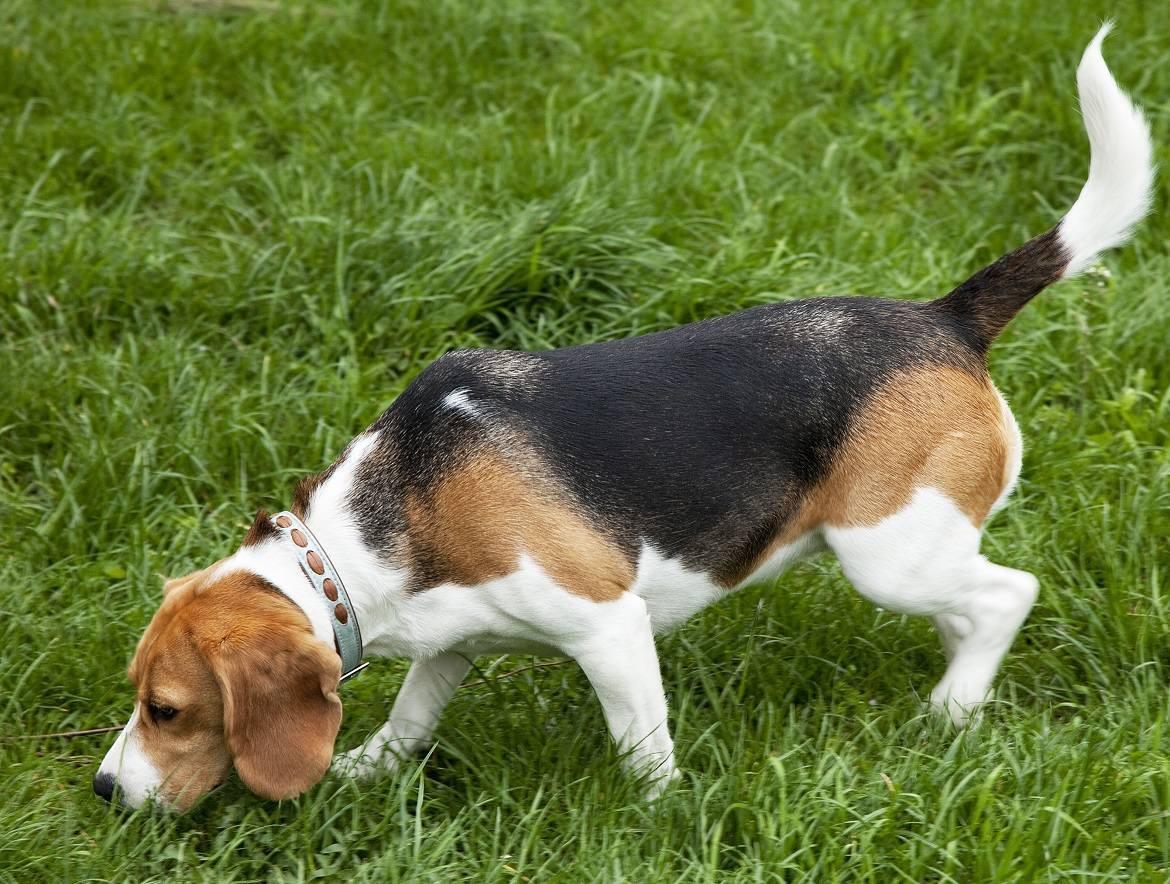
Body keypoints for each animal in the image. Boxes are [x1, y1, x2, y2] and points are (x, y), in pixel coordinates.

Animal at [93, 24, 1151, 809]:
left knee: (1009, 592)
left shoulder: (608, 628)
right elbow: (412, 715)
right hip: (917, 552)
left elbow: (641, 744)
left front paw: (660, 814)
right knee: (973, 605)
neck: (358, 546)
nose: (105, 790)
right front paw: (370, 768)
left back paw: (950, 711)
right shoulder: (454, 640)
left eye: (168, 710)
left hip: (885, 553)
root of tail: (945, 318)